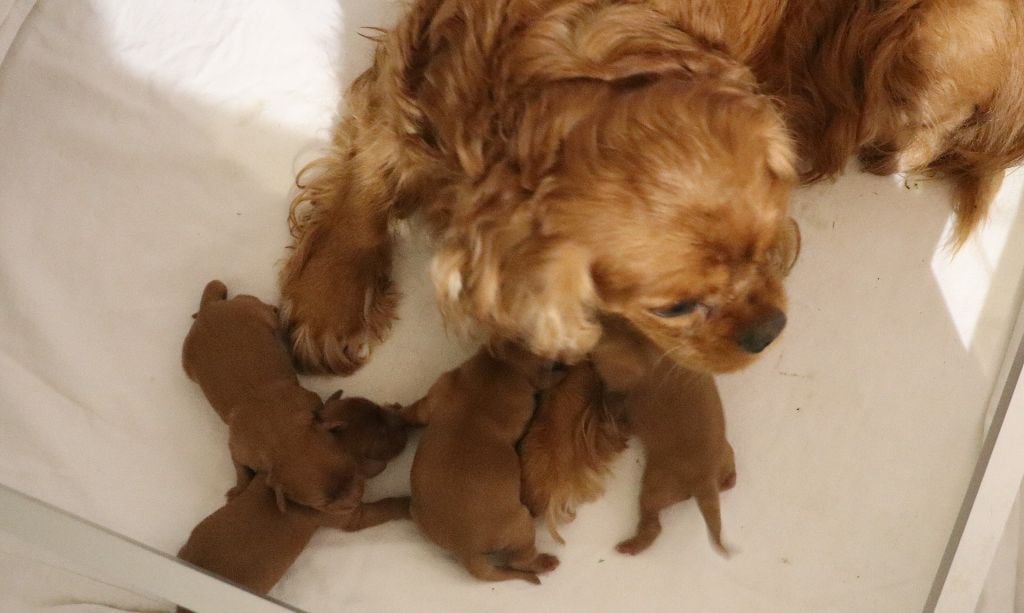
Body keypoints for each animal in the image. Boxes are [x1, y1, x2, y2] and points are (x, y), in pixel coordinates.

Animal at [183, 282, 364, 513]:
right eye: (323, 504)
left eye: (351, 469)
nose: (359, 498)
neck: (280, 432)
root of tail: (208, 309)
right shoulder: (239, 448)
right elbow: (240, 468)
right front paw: (239, 489)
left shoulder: (307, 399)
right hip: (188, 365)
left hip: (253, 310)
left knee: (261, 308)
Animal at [397, 343, 561, 589]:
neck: (499, 367)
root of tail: (467, 551)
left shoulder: (437, 393)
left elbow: (415, 411)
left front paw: (395, 412)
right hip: (521, 524)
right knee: (519, 560)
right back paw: (545, 562)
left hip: (416, 513)